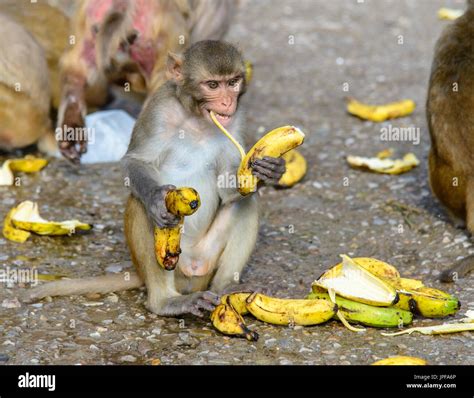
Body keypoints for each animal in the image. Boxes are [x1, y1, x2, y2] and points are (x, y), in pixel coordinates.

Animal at [22, 40, 286, 318]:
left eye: (233, 82)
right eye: (213, 85)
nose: (227, 102)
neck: (196, 118)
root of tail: (192, 267)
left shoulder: (237, 120)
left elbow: (229, 189)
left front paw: (270, 170)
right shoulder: (158, 109)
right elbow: (135, 162)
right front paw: (157, 200)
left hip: (206, 258)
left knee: (248, 201)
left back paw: (226, 285)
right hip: (175, 263)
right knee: (139, 205)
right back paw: (166, 301)